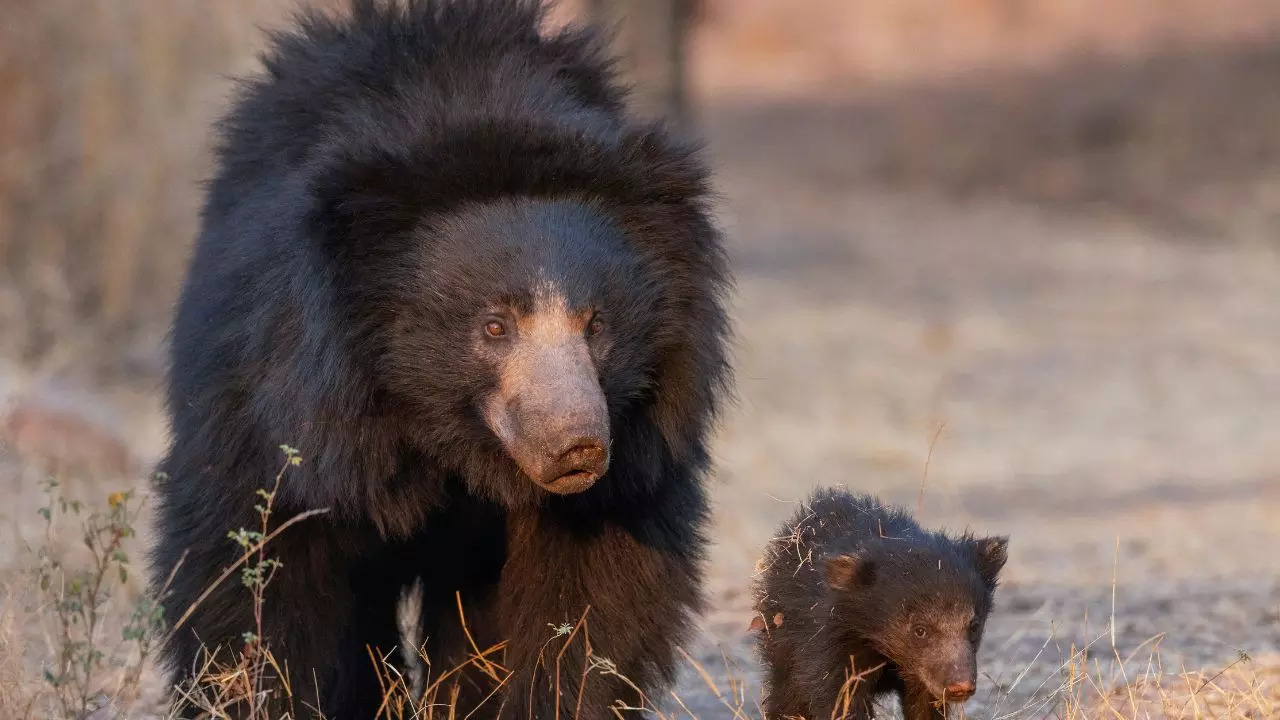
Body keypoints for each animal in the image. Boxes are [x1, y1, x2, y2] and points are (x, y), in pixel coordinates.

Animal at [149, 1, 732, 717]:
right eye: (494, 326)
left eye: (595, 324)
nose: (578, 447)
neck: (448, 439)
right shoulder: (283, 406)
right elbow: (263, 565)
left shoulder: (634, 465)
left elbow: (591, 594)